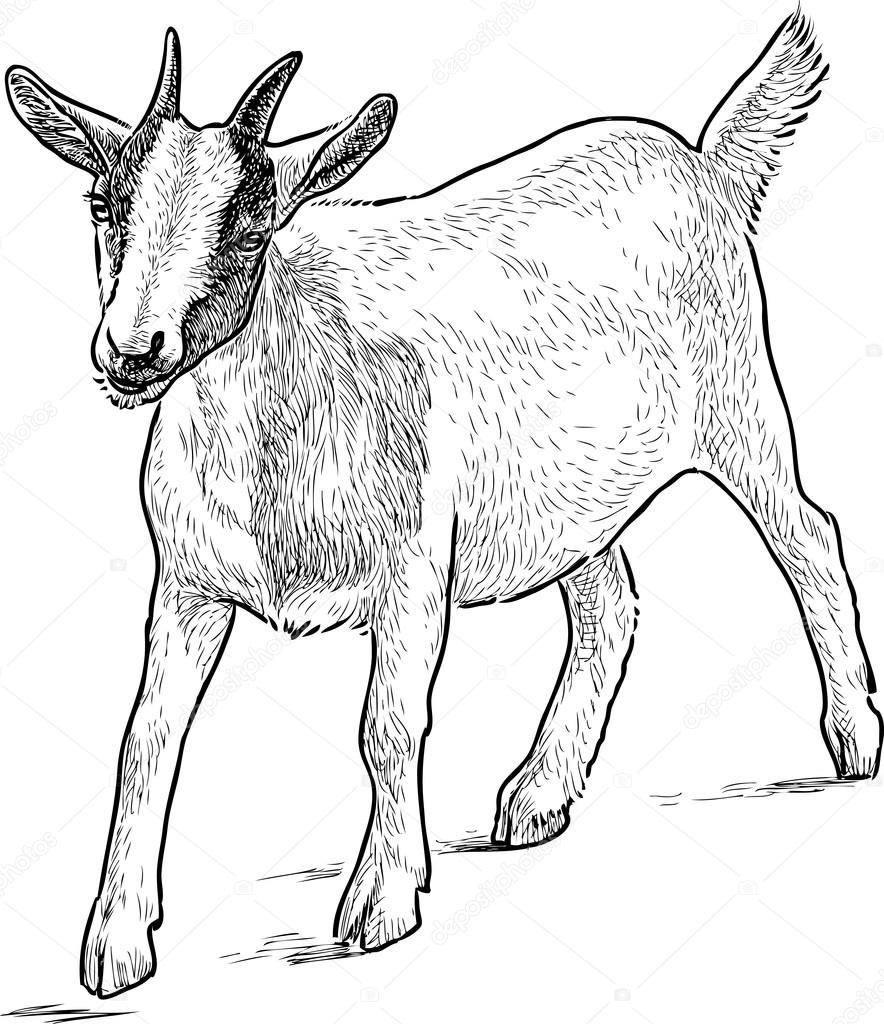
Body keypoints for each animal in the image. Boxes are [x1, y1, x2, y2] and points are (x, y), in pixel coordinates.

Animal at [7, 9, 881, 999]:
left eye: (250, 224)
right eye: (102, 205)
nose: (133, 352)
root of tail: (705, 162)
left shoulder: (414, 572)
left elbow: (387, 725)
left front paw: (380, 901)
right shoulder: (188, 585)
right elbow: (147, 738)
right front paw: (116, 943)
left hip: (741, 409)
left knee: (810, 537)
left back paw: (854, 740)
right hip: (575, 499)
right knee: (610, 604)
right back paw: (537, 795)